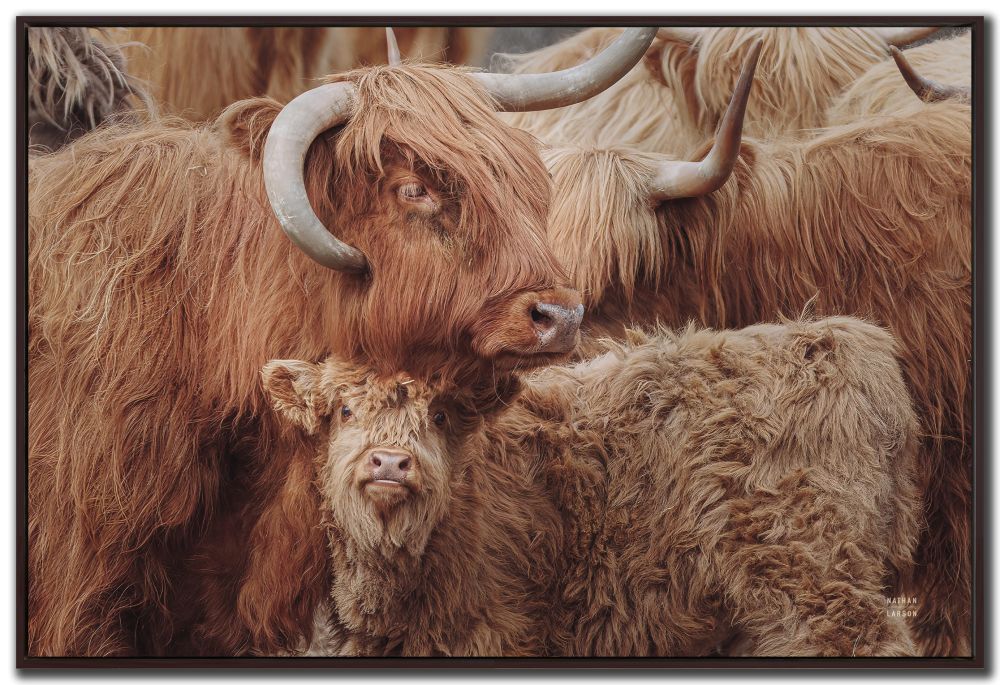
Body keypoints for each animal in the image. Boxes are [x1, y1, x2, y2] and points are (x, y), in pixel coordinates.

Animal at [263, 315, 921, 657]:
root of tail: (840, 339)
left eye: (441, 415)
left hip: (815, 576)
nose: (391, 463)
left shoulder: (496, 631)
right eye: (345, 410)